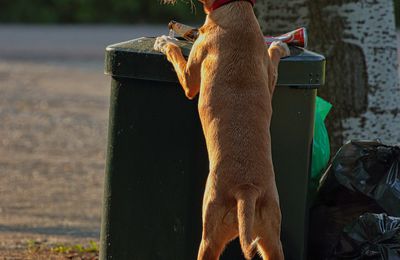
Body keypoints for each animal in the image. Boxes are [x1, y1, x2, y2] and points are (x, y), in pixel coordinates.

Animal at [155, 1, 290, 258]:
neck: (234, 10)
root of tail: (246, 190)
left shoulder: (190, 80)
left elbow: (175, 54)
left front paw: (165, 42)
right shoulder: (269, 78)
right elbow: (273, 62)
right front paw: (279, 45)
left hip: (209, 236)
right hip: (272, 241)